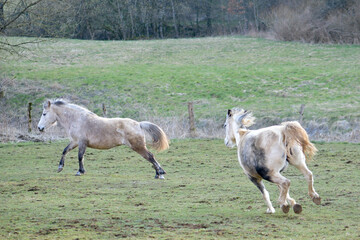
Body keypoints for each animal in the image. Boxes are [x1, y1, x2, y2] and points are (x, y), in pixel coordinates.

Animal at [37, 99, 169, 178]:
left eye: (44, 114)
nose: (39, 128)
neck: (77, 119)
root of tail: (139, 124)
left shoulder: (82, 143)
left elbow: (80, 156)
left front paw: (80, 171)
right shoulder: (75, 142)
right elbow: (65, 151)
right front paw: (60, 167)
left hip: (138, 146)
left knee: (150, 156)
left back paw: (160, 173)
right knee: (150, 157)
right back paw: (159, 173)